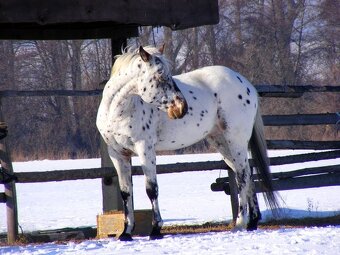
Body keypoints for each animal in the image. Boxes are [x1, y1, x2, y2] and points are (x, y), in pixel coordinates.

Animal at [95, 44, 278, 240]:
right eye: (160, 74)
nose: (182, 108)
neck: (117, 111)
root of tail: (246, 84)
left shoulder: (145, 149)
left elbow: (151, 189)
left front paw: (156, 230)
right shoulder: (118, 154)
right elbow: (125, 192)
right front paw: (126, 232)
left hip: (236, 140)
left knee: (242, 176)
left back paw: (240, 223)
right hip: (222, 143)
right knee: (247, 173)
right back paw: (252, 222)